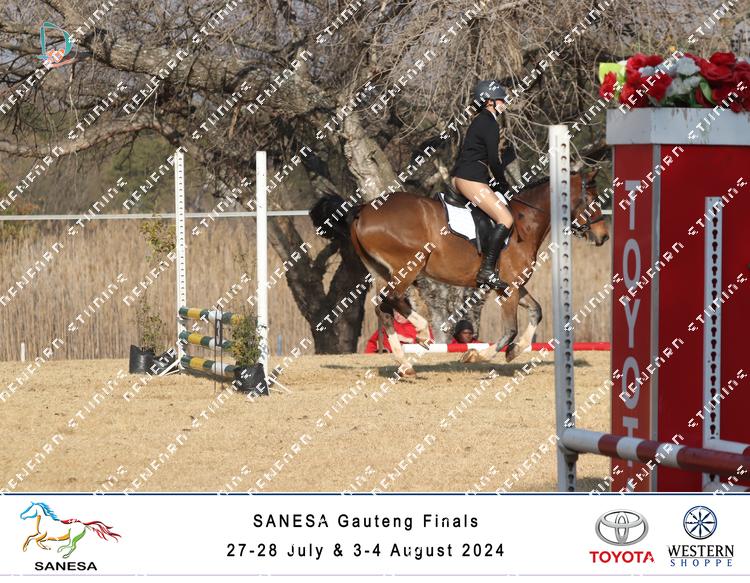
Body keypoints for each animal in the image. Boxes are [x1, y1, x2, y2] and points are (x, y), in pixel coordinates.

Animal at [310, 170, 609, 376]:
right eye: (592, 199)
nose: (603, 236)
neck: (526, 222)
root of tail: (363, 209)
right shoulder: (510, 287)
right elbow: (510, 329)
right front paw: (478, 356)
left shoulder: (510, 285)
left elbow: (536, 311)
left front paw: (514, 352)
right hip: (408, 267)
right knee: (390, 300)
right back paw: (421, 333)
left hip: (383, 270)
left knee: (382, 307)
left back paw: (405, 363)